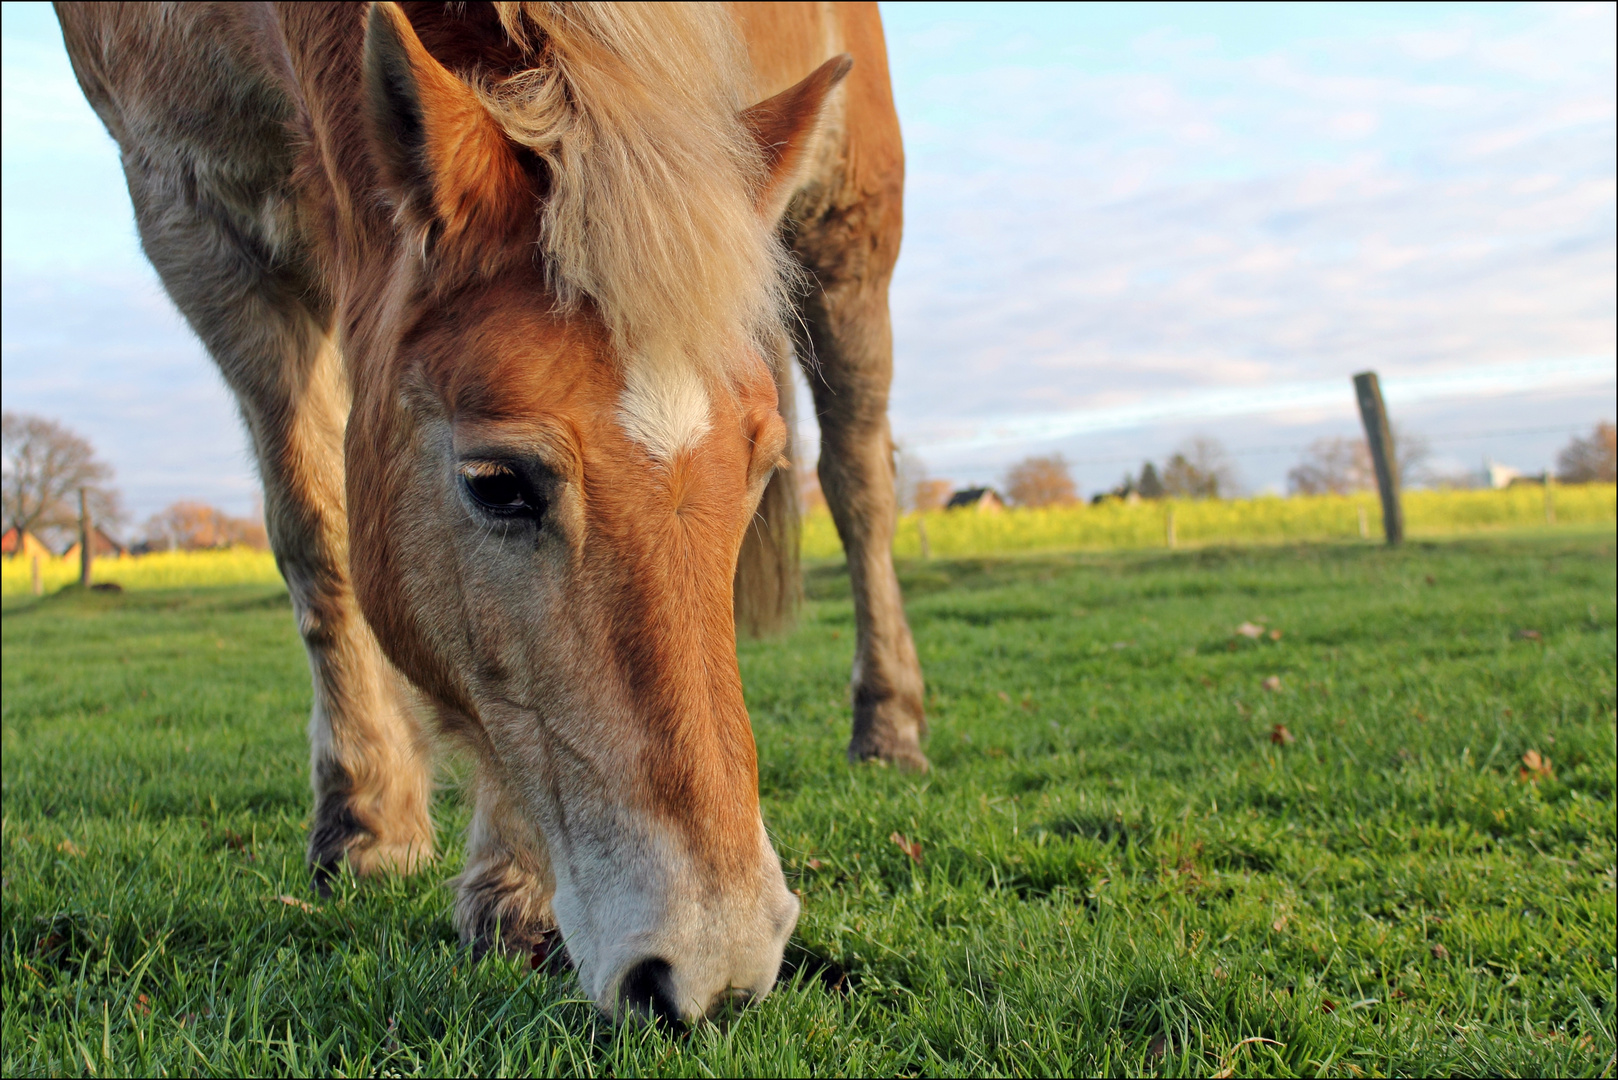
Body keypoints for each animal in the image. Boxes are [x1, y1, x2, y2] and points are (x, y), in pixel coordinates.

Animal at [57, 2, 925, 1023]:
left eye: (757, 465)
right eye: (496, 483)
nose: (718, 963)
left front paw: (510, 887)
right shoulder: (194, 215)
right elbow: (315, 531)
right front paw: (367, 820)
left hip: (849, 227)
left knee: (861, 483)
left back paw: (888, 725)